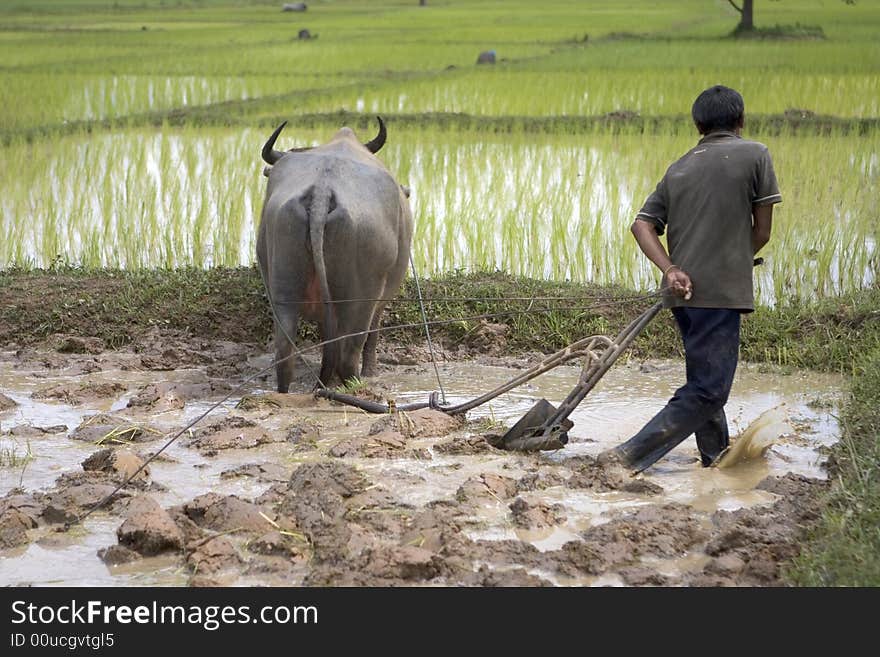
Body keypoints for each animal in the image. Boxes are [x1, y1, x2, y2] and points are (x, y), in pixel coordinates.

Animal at [254, 117, 412, 390]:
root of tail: (322, 191)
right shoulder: (379, 301)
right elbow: (372, 335)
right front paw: (372, 372)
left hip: (282, 284)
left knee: (285, 352)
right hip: (361, 298)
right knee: (350, 354)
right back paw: (357, 385)